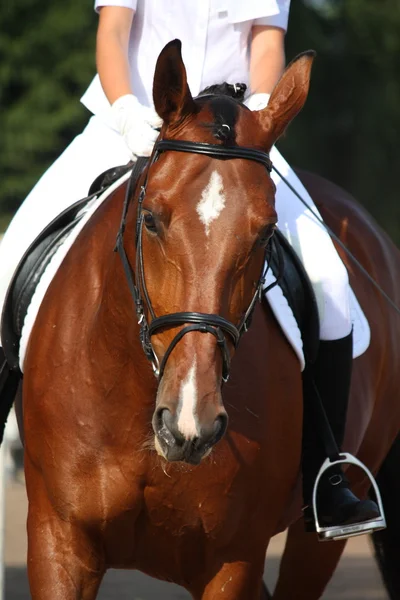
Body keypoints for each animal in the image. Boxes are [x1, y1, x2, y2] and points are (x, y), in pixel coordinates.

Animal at [20, 39, 400, 596]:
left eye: (266, 233)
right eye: (150, 219)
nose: (189, 423)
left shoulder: (233, 559)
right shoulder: (58, 539)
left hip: (321, 532)